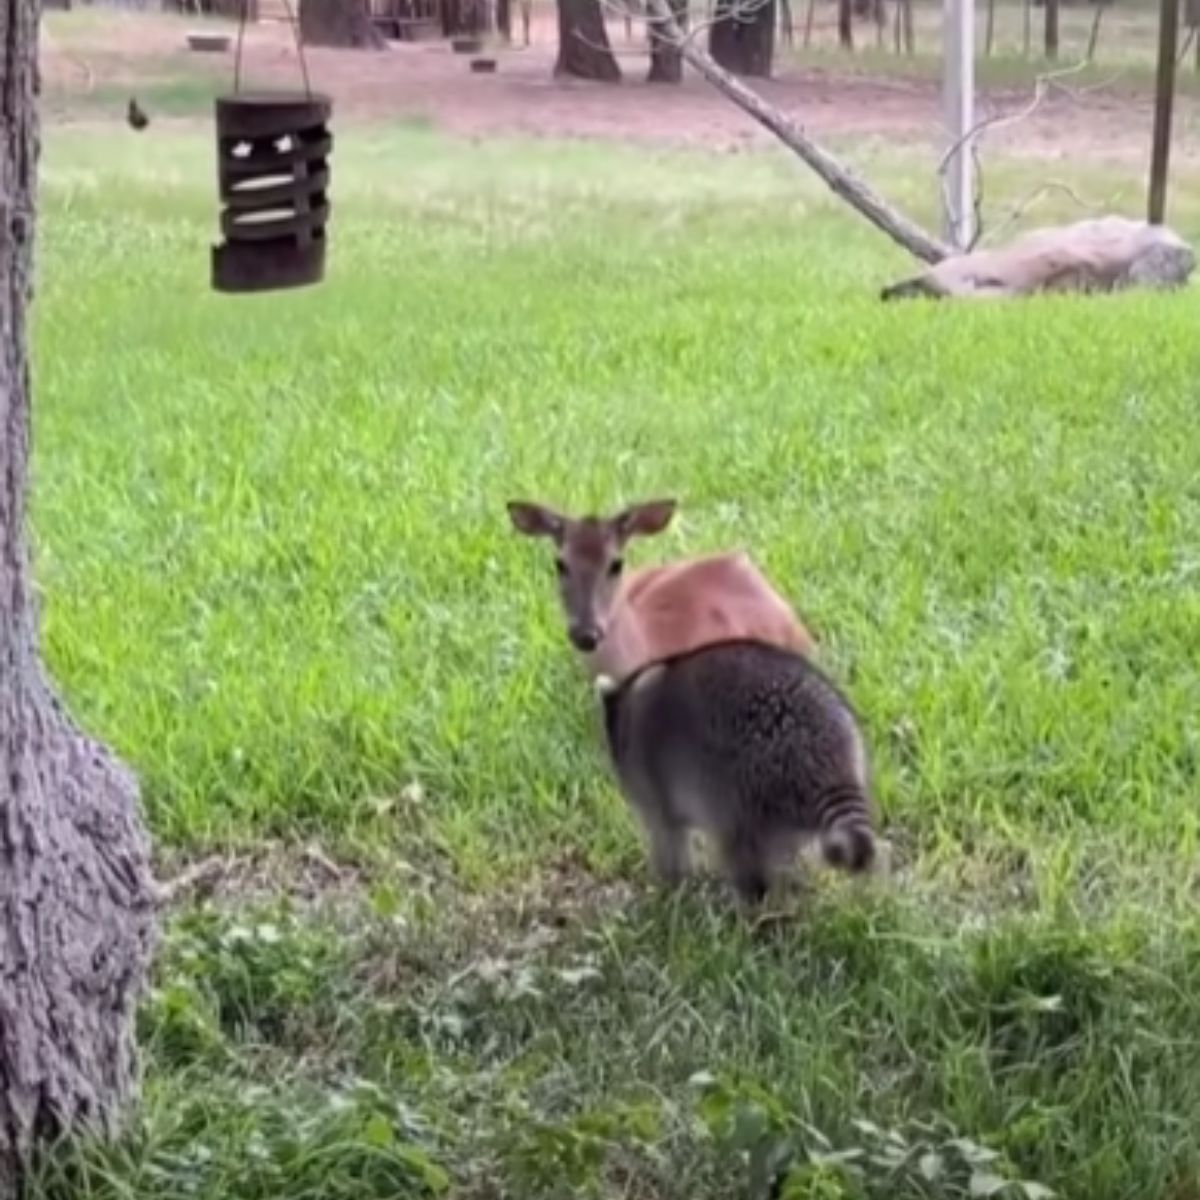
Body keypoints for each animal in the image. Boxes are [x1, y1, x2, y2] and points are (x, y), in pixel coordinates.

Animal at [595, 643, 878, 902]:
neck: (630, 702)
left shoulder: (651, 781)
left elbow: (667, 837)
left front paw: (668, 887)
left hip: (746, 787)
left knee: (739, 850)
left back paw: (750, 901)